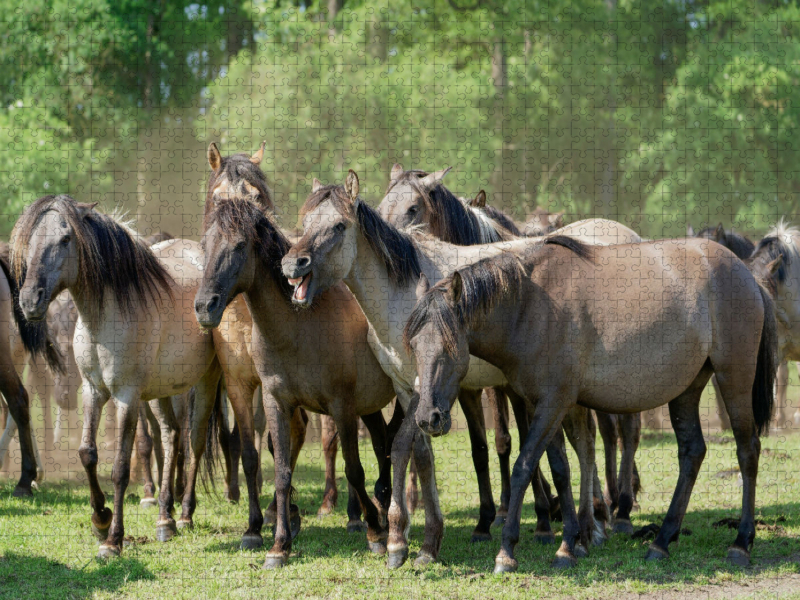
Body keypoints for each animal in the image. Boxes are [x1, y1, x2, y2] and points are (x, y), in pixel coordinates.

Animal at [10, 197, 222, 556]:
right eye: (31, 240)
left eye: (65, 239)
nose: (29, 301)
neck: (107, 316)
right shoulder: (92, 391)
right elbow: (87, 453)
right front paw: (100, 518)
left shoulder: (126, 396)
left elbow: (120, 468)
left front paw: (113, 539)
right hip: (162, 390)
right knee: (171, 434)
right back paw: (164, 518)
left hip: (206, 380)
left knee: (194, 441)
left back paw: (184, 514)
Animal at [197, 183, 396, 568]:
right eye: (203, 243)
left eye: (239, 245)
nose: (204, 307)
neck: (300, 329)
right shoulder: (274, 400)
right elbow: (279, 469)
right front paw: (277, 543)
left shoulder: (341, 406)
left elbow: (353, 468)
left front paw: (374, 533)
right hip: (369, 405)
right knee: (383, 442)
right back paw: (382, 504)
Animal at [282, 172, 600, 568]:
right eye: (304, 221)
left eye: (339, 225)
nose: (293, 264)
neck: (402, 297)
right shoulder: (406, 388)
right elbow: (420, 455)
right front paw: (426, 542)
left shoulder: (425, 385)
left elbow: (403, 446)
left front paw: (398, 539)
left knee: (587, 445)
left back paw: (588, 531)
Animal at [406, 237, 776, 576]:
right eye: (414, 345)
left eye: (451, 347)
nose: (427, 418)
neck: (531, 307)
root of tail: (746, 274)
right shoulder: (544, 405)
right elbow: (560, 469)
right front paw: (569, 545)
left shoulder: (553, 402)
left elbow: (524, 466)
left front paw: (507, 552)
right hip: (688, 388)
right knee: (692, 452)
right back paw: (661, 541)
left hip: (733, 378)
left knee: (747, 450)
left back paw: (741, 543)